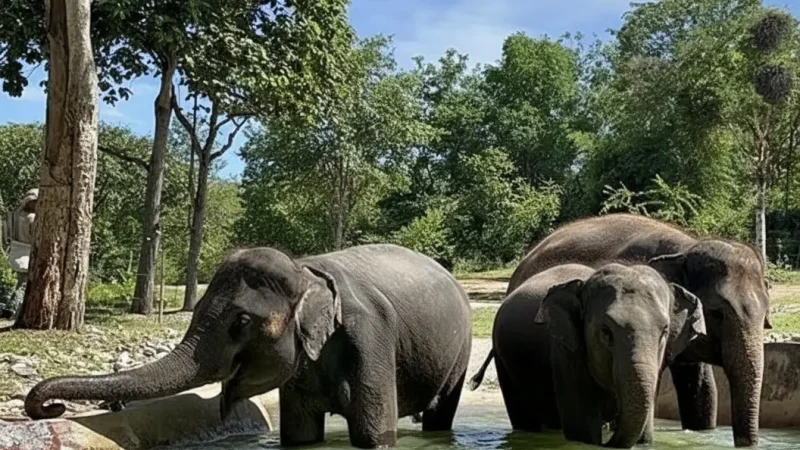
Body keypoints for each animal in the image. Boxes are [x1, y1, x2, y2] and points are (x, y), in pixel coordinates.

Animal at [24, 244, 473, 449]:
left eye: (240, 323)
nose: (50, 407)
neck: (306, 269)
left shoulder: (370, 337)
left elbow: (373, 436)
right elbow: (300, 435)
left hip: (461, 354)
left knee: (442, 410)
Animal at [485, 263, 706, 448]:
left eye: (664, 332)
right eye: (606, 332)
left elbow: (645, 432)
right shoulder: (566, 352)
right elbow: (583, 431)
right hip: (503, 361)